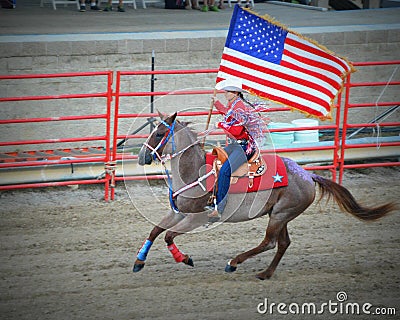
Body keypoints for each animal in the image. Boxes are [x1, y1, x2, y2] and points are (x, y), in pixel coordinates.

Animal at [134, 112, 394, 280]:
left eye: (158, 133)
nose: (141, 157)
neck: (193, 171)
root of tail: (308, 175)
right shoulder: (178, 212)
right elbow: (155, 231)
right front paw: (139, 262)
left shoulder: (197, 217)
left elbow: (168, 236)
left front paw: (185, 258)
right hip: (280, 214)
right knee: (283, 243)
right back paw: (265, 273)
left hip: (279, 215)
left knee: (269, 242)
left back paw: (233, 263)